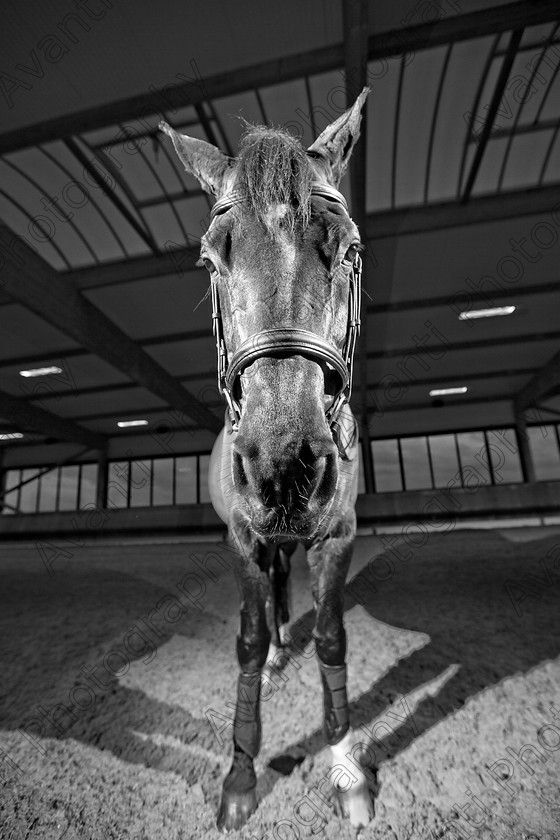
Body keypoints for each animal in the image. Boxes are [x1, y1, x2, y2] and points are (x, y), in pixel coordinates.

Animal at [160, 88, 374, 832]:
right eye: (210, 260)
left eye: (350, 249)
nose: (285, 472)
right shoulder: (244, 537)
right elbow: (247, 644)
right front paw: (239, 778)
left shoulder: (337, 535)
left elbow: (334, 640)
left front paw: (347, 773)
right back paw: (281, 649)